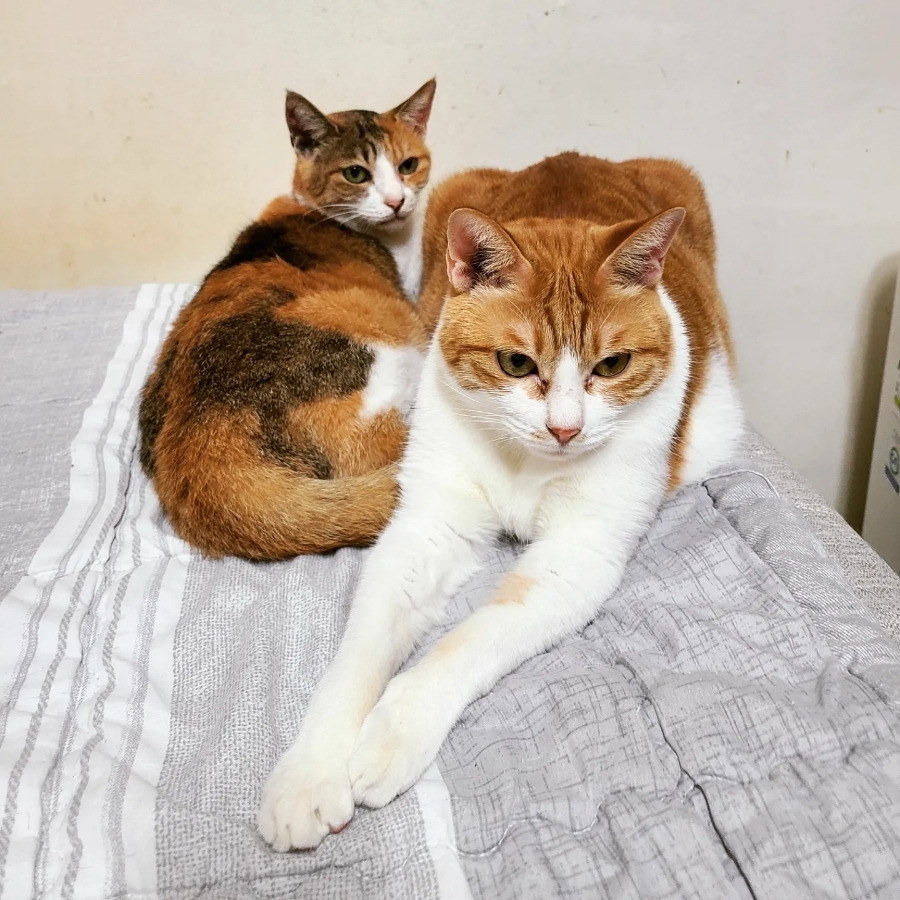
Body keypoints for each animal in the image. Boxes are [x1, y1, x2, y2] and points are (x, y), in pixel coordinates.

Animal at [257, 151, 745, 849]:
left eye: (613, 365)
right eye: (515, 363)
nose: (565, 428)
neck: (527, 463)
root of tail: (573, 157)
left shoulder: (574, 559)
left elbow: (464, 643)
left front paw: (390, 735)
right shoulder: (427, 528)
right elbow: (357, 657)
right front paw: (309, 771)